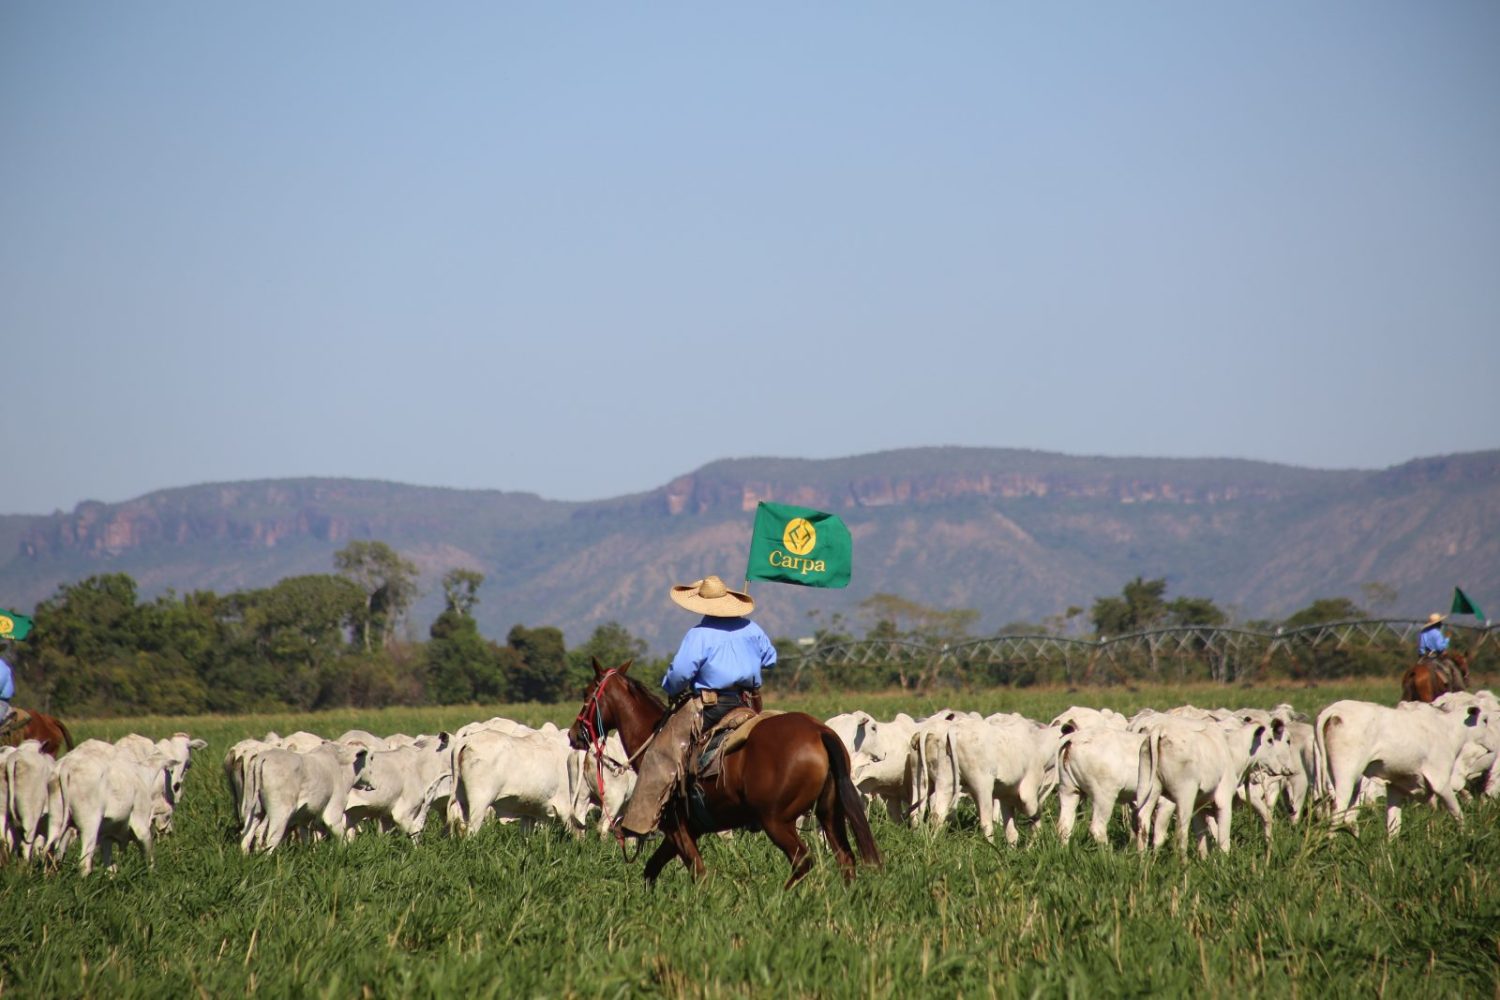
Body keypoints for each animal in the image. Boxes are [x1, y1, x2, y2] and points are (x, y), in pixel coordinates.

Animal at [570, 659, 876, 887]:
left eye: (586, 695)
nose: (574, 734)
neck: (652, 734)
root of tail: (818, 731)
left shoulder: (677, 827)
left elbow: (698, 873)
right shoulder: (685, 830)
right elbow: (651, 870)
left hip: (776, 821)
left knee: (803, 861)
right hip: (829, 814)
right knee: (845, 859)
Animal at [1314, 695, 1488, 839]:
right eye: (1485, 720)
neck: (1448, 730)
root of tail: (1336, 709)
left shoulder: (1396, 786)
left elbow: (1394, 825)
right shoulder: (1441, 781)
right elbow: (1457, 813)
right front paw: (1468, 835)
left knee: (1348, 817)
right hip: (1347, 776)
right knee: (1338, 814)